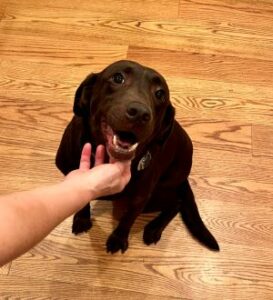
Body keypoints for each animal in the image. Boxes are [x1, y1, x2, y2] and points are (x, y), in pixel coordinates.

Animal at [55, 59, 219, 252]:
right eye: (118, 78)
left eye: (160, 93)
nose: (140, 113)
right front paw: (82, 218)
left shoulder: (140, 198)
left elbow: (128, 219)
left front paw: (118, 239)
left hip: (155, 196)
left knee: (177, 202)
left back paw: (154, 229)